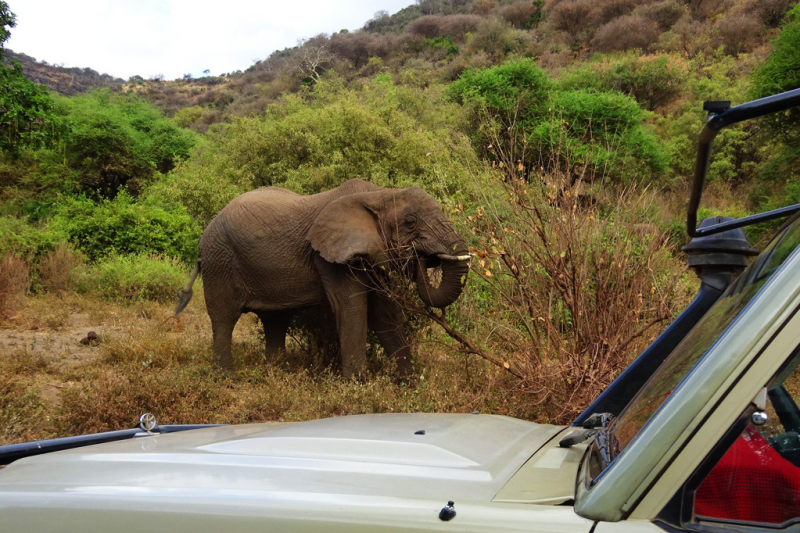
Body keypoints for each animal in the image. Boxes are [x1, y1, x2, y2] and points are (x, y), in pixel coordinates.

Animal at [175, 179, 468, 378]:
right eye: (410, 222)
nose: (422, 257)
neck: (380, 194)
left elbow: (386, 315)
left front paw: (410, 383)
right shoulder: (330, 257)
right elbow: (352, 310)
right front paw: (358, 387)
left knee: (275, 320)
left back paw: (277, 374)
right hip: (219, 261)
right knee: (224, 319)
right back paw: (226, 378)